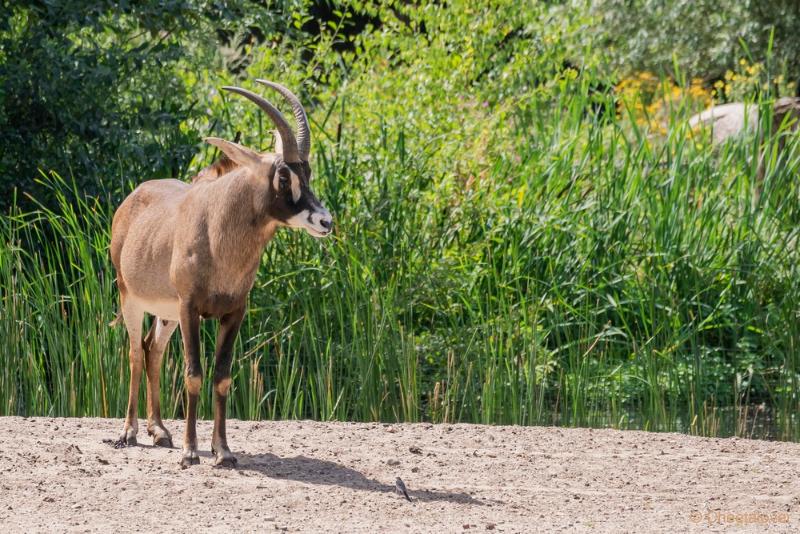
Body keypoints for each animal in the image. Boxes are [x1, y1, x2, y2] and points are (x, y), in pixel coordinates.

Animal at [110, 79, 332, 468]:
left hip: (166, 314)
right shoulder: (190, 309)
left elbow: (223, 377)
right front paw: (190, 451)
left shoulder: (234, 312)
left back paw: (159, 431)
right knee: (136, 353)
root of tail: (131, 200)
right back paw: (130, 432)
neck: (217, 232)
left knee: (153, 350)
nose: (325, 221)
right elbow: (194, 375)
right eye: (284, 176)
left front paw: (223, 451)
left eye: (307, 173)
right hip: (132, 299)